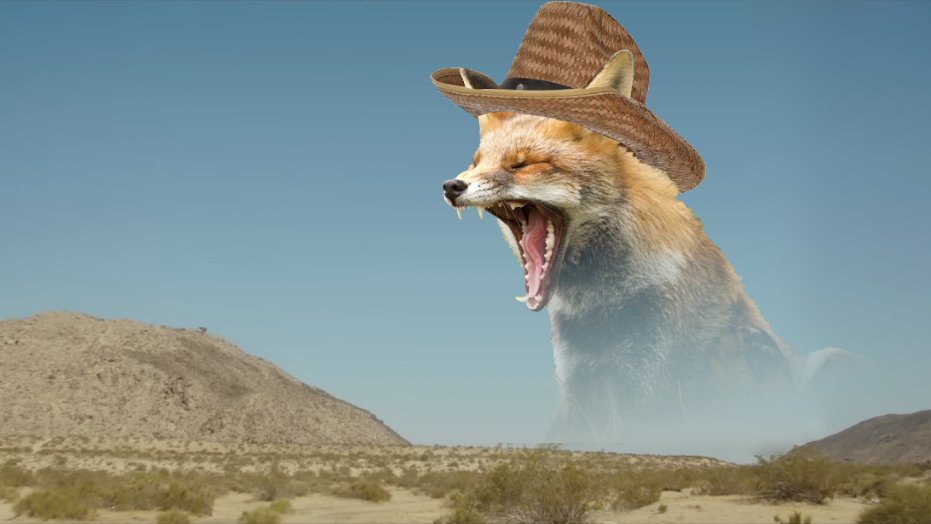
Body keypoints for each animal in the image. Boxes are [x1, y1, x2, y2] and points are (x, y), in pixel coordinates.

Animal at [441, 55, 867, 449]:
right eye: (476, 162)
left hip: (831, 364)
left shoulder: (646, 381)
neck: (598, 310)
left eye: (521, 164)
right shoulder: (579, 385)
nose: (451, 186)